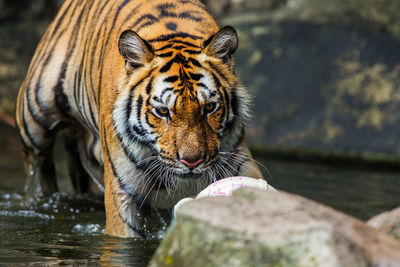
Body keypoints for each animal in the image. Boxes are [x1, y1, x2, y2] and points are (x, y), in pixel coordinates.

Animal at [15, 0, 266, 239]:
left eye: (210, 107)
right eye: (163, 111)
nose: (192, 162)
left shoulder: (238, 158)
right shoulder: (123, 191)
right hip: (34, 117)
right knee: (37, 162)